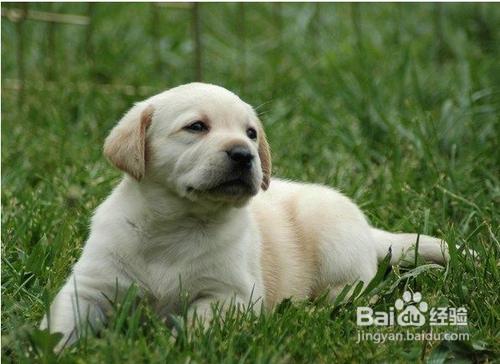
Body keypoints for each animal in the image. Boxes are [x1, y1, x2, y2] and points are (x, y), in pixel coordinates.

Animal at [41, 82, 448, 350]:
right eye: (196, 126)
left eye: (251, 133)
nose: (243, 154)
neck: (176, 225)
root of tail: (369, 230)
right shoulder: (91, 285)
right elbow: (61, 322)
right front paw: (46, 349)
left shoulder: (231, 295)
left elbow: (195, 324)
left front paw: (172, 347)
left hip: (333, 237)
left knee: (357, 286)